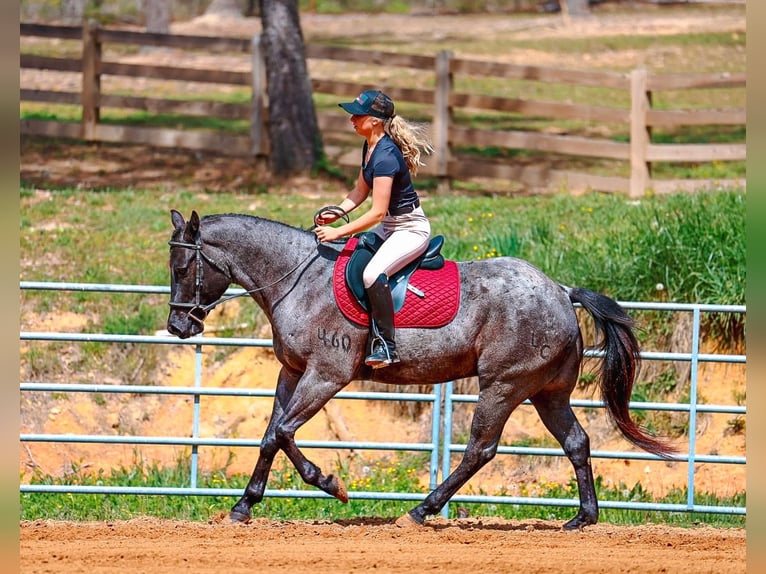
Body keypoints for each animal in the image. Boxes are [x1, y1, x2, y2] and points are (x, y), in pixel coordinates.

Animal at [166, 209, 674, 530]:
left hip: (503, 385)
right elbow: (271, 435)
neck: (298, 278)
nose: (177, 326)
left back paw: (420, 511)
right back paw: (582, 518)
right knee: (576, 442)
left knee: (481, 449)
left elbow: (287, 432)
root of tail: (560, 290)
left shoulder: (326, 375)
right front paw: (243, 506)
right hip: (546, 392)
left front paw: (331, 484)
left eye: (183, 266)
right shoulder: (291, 372)